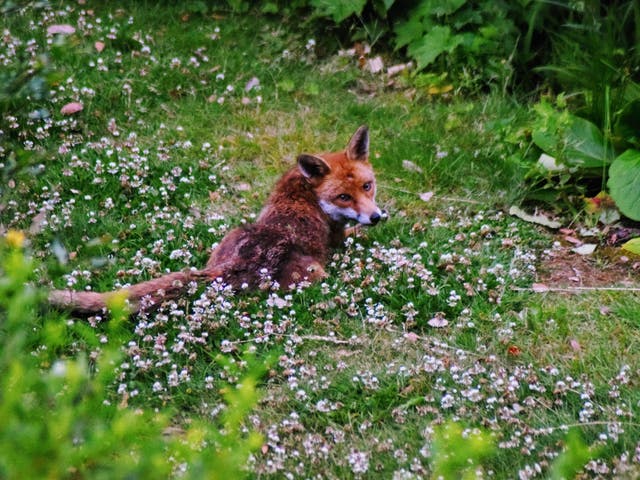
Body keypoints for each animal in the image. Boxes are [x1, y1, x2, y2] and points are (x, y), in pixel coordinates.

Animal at [50, 125, 382, 316]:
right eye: (344, 197)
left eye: (367, 186)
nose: (376, 217)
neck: (306, 191)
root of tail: (239, 263)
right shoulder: (338, 237)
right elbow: (356, 234)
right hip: (315, 273)